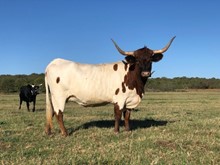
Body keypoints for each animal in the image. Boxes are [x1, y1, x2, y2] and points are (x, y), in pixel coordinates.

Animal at [44, 36, 175, 136]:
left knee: (52, 112)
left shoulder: (129, 100)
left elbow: (127, 115)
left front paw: (128, 130)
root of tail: (53, 62)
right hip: (59, 96)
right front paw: (116, 131)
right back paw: (65, 133)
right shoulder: (119, 99)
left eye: (150, 59)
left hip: (54, 97)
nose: (146, 73)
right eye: (137, 60)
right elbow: (118, 115)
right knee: (59, 113)